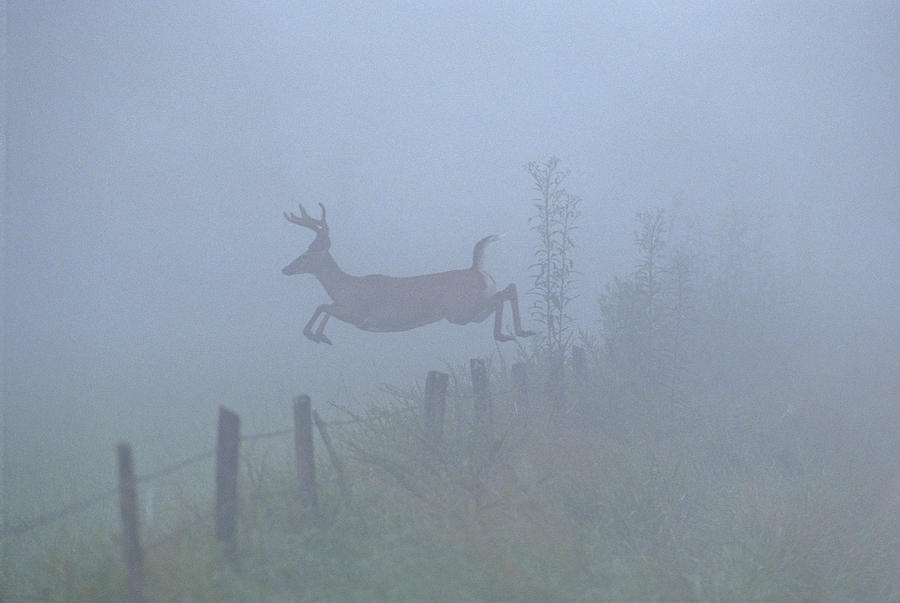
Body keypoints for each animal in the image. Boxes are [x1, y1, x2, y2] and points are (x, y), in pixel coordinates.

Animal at [282, 204, 536, 342]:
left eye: (306, 253)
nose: (285, 269)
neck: (344, 288)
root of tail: (478, 269)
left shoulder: (359, 314)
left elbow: (322, 306)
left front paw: (312, 334)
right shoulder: (348, 310)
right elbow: (325, 307)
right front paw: (321, 336)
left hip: (461, 310)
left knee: (503, 294)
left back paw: (506, 334)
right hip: (471, 313)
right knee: (507, 289)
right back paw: (519, 332)